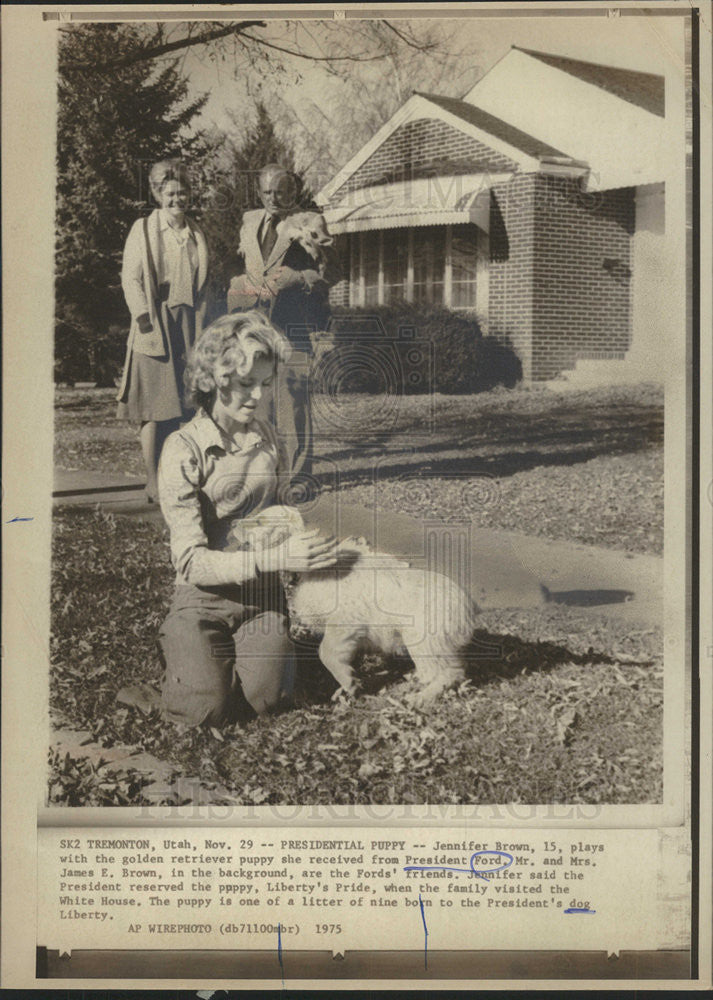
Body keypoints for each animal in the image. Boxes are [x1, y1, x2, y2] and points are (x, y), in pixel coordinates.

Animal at [229, 504, 478, 708]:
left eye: (259, 521)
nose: (232, 524)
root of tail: (469, 610)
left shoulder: (345, 619)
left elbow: (326, 651)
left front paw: (348, 681)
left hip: (424, 640)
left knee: (451, 673)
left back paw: (422, 697)